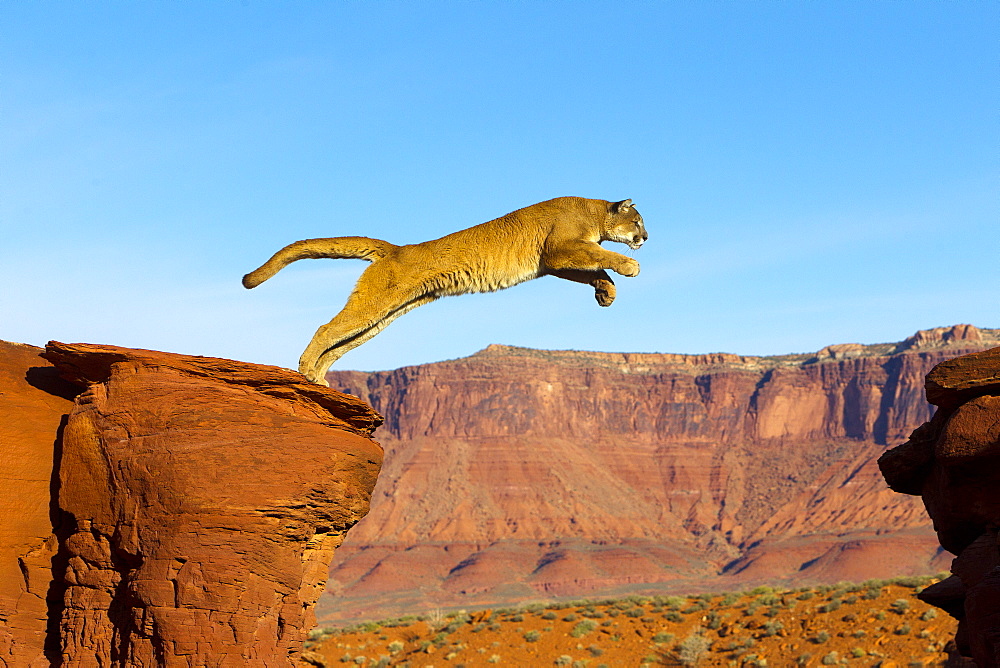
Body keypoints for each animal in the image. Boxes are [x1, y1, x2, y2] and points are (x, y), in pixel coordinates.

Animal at [243, 196, 648, 384]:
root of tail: (396, 249)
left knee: (341, 342)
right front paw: (630, 267)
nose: (645, 237)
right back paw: (306, 368)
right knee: (326, 328)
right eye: (638, 221)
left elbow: (594, 267)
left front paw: (606, 292)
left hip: (384, 316)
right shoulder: (559, 248)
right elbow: (602, 254)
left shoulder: (553, 262)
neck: (594, 211)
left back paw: (318, 377)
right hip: (376, 304)